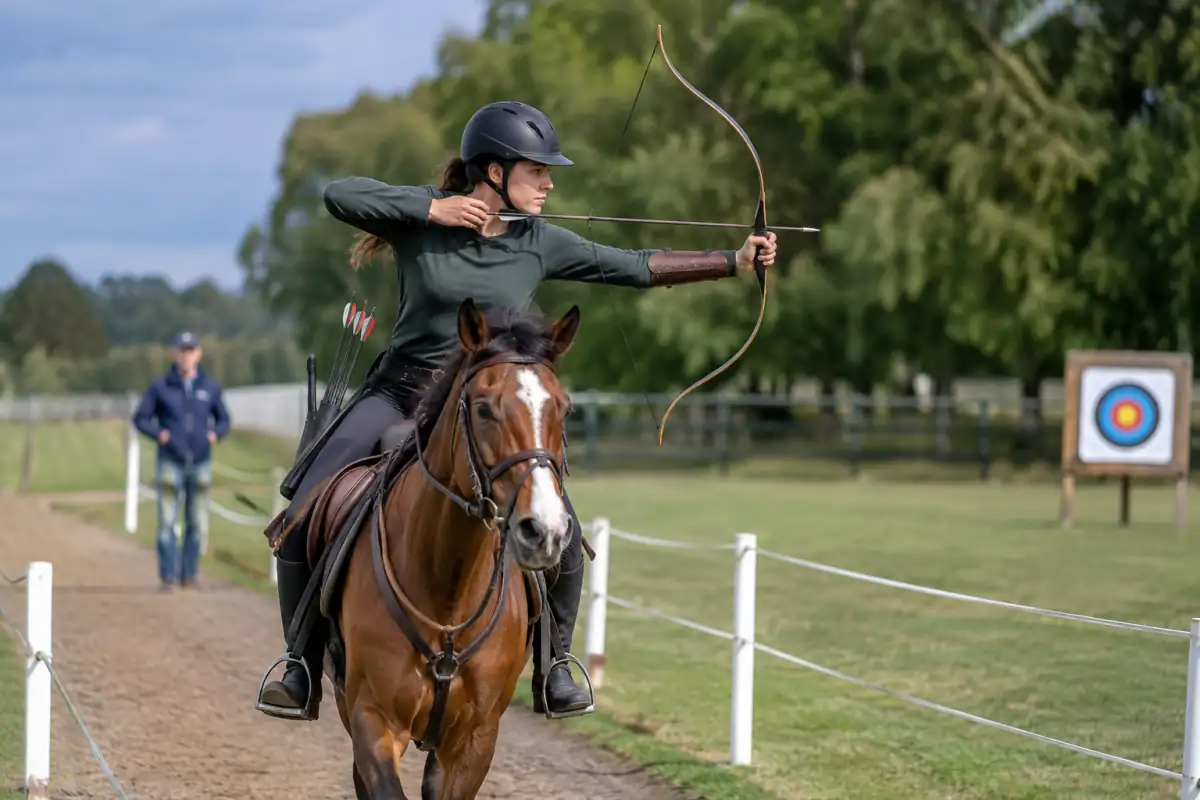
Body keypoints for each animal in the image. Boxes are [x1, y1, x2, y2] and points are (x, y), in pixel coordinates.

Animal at [261, 298, 588, 799]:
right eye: (483, 408)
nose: (543, 529)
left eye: (564, 410)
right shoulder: (373, 721)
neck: (447, 590)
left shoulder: (474, 740)